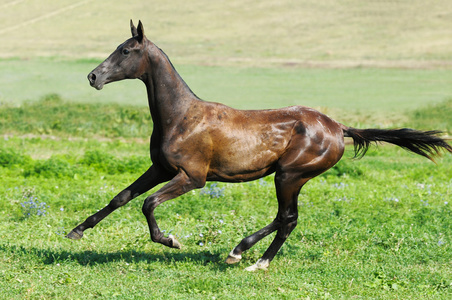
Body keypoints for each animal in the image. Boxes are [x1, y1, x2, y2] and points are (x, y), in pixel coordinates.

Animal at [67, 19, 452, 270]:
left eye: (125, 50)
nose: (93, 76)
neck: (181, 117)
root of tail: (338, 127)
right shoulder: (160, 168)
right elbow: (121, 197)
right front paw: (76, 231)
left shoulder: (192, 177)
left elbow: (147, 204)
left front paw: (171, 240)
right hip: (289, 177)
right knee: (285, 219)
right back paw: (246, 254)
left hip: (290, 175)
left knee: (287, 218)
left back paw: (250, 258)